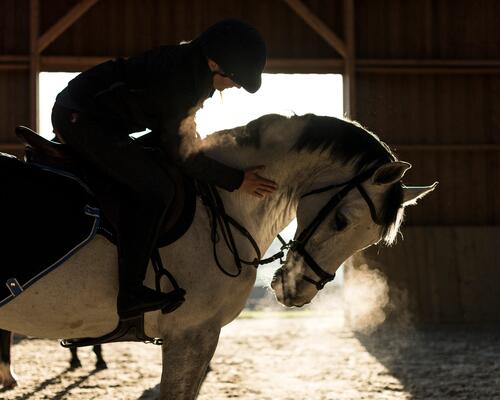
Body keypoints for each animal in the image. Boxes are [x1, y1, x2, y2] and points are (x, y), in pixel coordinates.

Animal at [0, 113, 436, 400]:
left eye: (367, 242)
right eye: (342, 220)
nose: (297, 292)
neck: (225, 200)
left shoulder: (198, 336)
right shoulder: (192, 334)